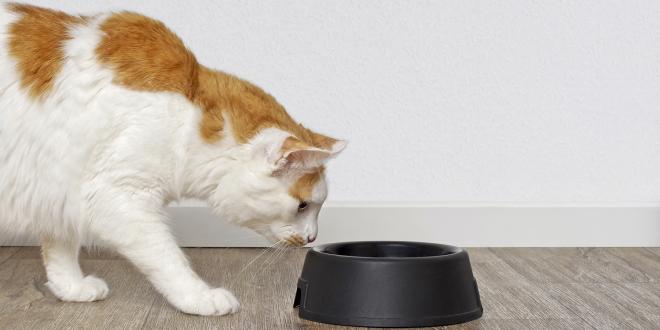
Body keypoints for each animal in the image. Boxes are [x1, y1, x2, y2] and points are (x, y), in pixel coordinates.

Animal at [0, 2, 348, 316]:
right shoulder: (117, 196)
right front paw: (199, 296)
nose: (312, 237)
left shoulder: (57, 183)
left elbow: (60, 244)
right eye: (303, 206)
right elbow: (167, 257)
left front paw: (71, 287)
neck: (190, 114)